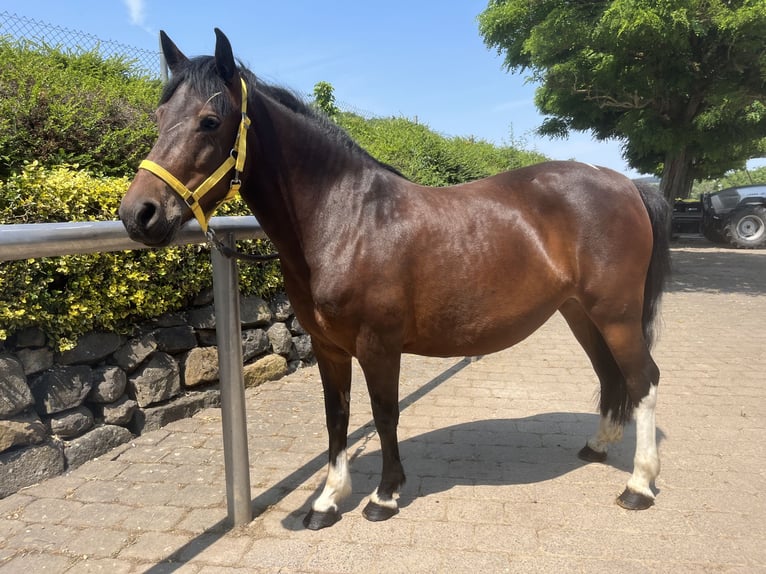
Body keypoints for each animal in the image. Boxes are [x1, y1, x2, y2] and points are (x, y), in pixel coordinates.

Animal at [118, 29, 672, 532]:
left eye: (210, 121)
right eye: (160, 118)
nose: (138, 214)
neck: (346, 217)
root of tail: (628, 185)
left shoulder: (378, 344)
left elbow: (384, 414)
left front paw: (383, 496)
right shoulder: (329, 347)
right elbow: (337, 417)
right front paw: (326, 502)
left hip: (616, 314)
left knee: (643, 379)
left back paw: (639, 486)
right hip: (581, 313)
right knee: (609, 375)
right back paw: (597, 447)